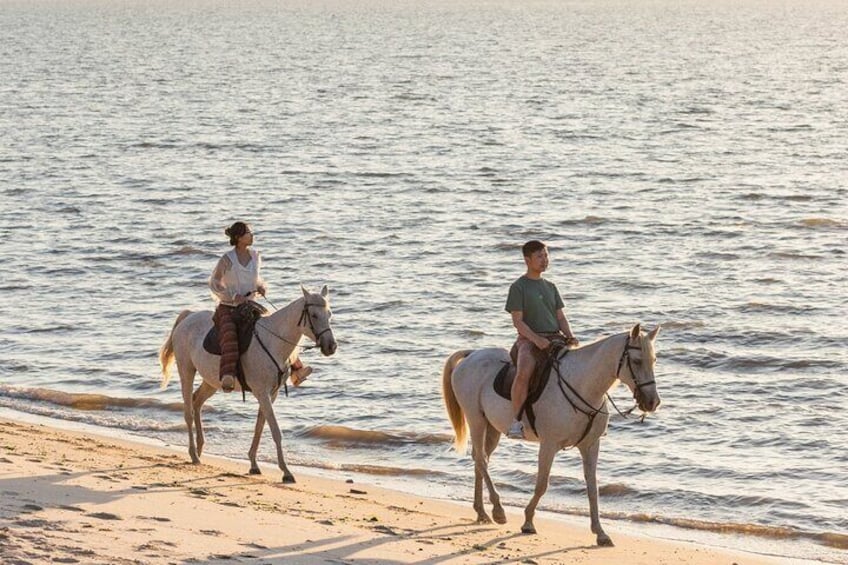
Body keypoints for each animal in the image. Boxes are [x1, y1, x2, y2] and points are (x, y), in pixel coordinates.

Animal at [161, 284, 336, 482]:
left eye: (329, 314)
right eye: (314, 315)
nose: (331, 346)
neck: (273, 342)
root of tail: (188, 317)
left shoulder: (271, 394)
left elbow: (259, 427)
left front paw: (253, 464)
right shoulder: (262, 392)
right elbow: (275, 430)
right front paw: (286, 471)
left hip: (211, 381)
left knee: (197, 401)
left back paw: (199, 449)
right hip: (186, 371)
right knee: (188, 411)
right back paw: (193, 454)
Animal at [444, 324, 664, 544]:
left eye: (654, 360)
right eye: (636, 361)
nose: (652, 402)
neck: (582, 385)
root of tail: (472, 355)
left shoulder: (591, 446)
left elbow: (593, 488)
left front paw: (600, 533)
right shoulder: (549, 445)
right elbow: (542, 484)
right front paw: (528, 522)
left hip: (492, 428)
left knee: (480, 460)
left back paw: (482, 512)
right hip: (476, 419)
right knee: (481, 460)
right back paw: (498, 511)